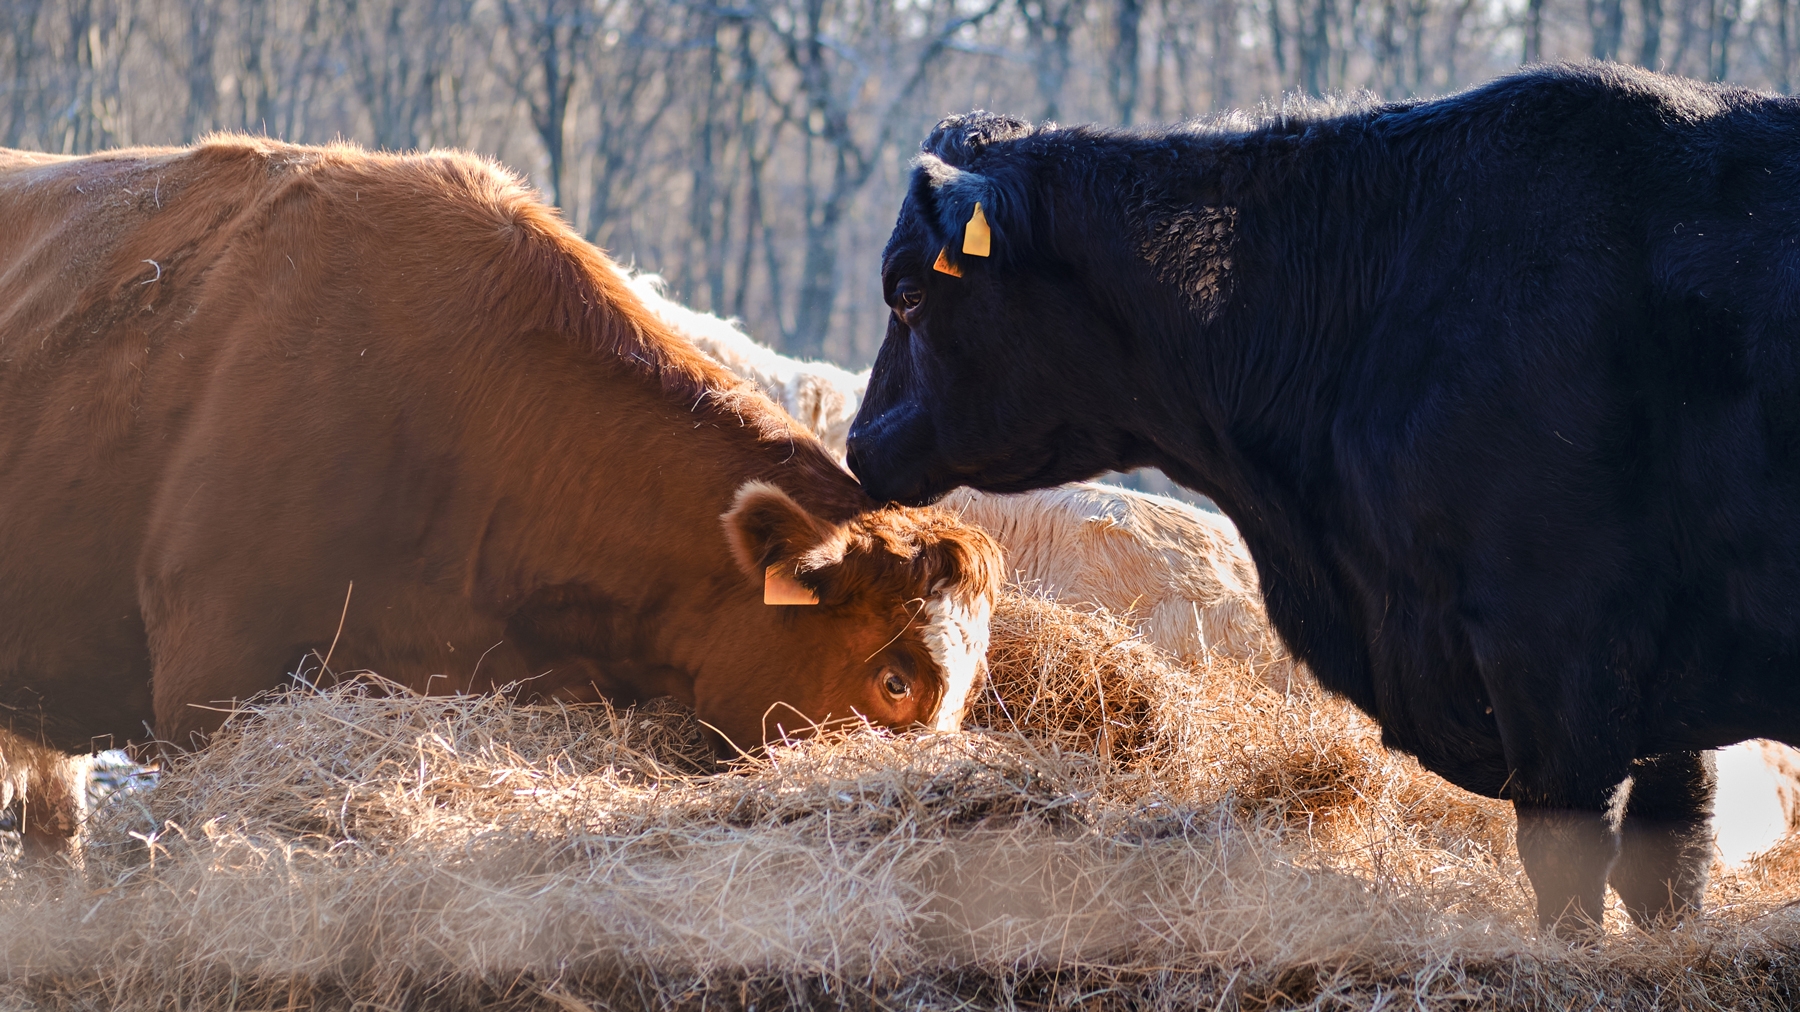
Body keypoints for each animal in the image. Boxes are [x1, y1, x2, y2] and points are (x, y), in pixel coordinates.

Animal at [849, 64, 1800, 929]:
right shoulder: (1660, 685)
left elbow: (1571, 862)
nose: (859, 444)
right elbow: (1670, 859)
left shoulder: (1554, 641)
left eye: (908, 292)